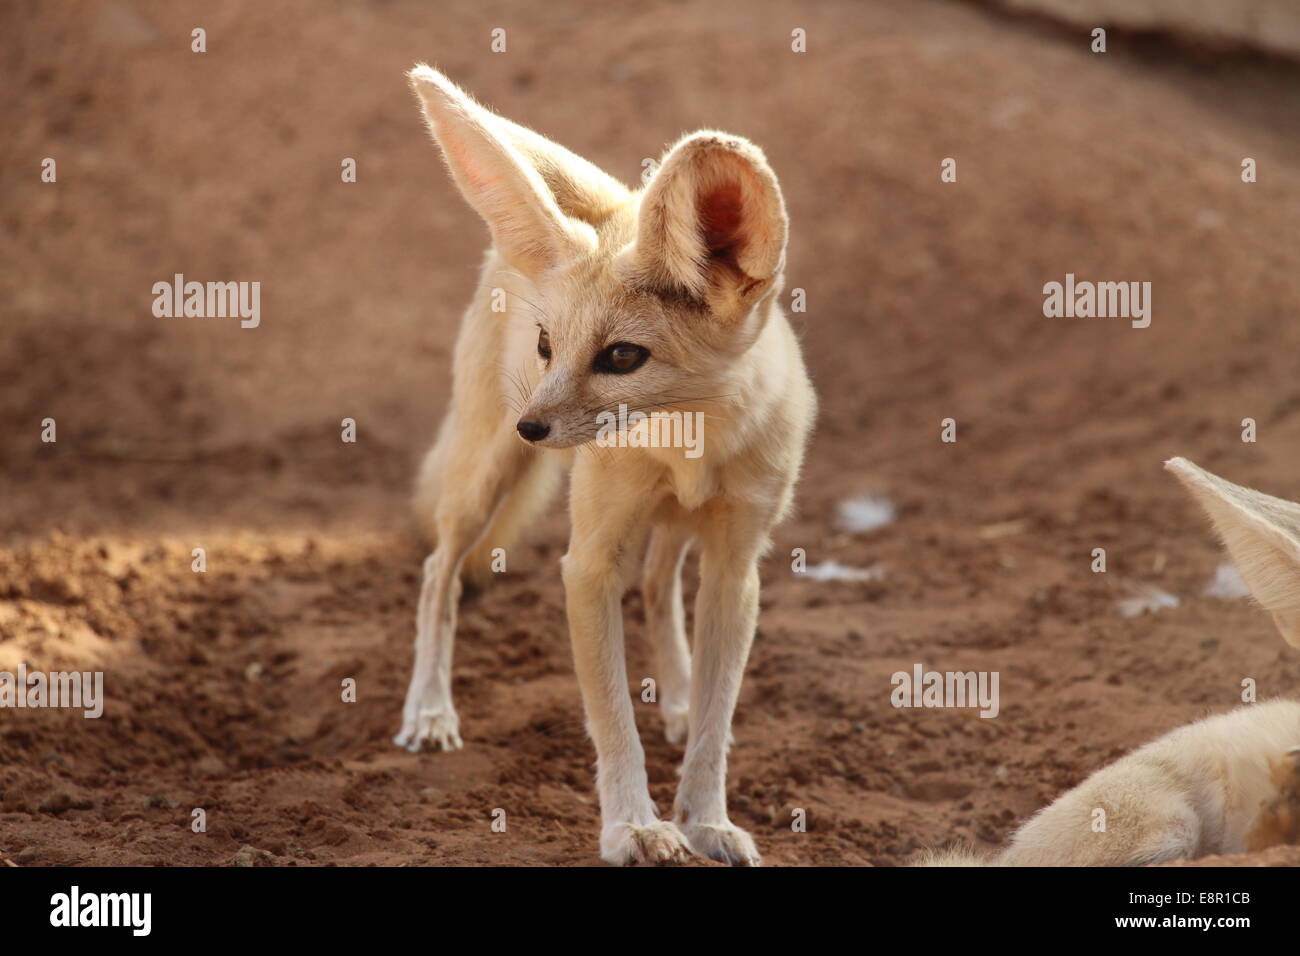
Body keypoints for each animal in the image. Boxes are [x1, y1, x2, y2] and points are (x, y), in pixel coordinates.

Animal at [400, 61, 816, 868]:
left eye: (622, 357)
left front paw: (706, 817)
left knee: (656, 583)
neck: (687, 448)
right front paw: (635, 827)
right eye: (546, 346)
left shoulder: (737, 563)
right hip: (483, 479)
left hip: (673, 526)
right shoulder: (588, 563)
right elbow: (613, 718)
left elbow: (717, 719)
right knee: (440, 571)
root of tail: (623, 198)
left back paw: (678, 698)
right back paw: (430, 709)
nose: (532, 426)